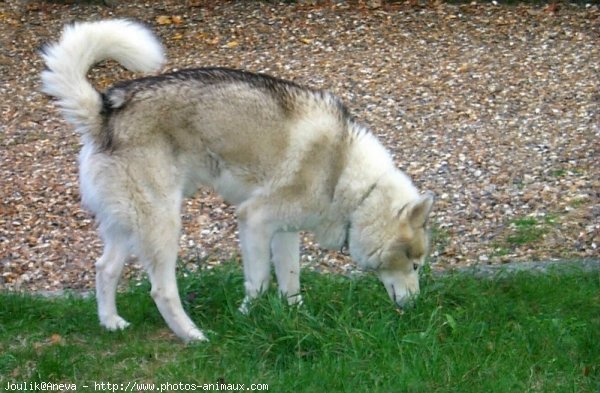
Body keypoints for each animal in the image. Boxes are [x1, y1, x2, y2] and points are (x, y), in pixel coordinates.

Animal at [43, 19, 436, 342]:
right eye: (415, 265)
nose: (418, 307)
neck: (349, 180)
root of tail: (104, 114)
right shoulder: (254, 220)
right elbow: (259, 282)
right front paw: (248, 316)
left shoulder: (284, 232)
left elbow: (290, 281)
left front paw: (296, 317)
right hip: (163, 223)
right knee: (161, 290)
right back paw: (194, 336)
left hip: (128, 223)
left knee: (105, 269)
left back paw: (111, 323)